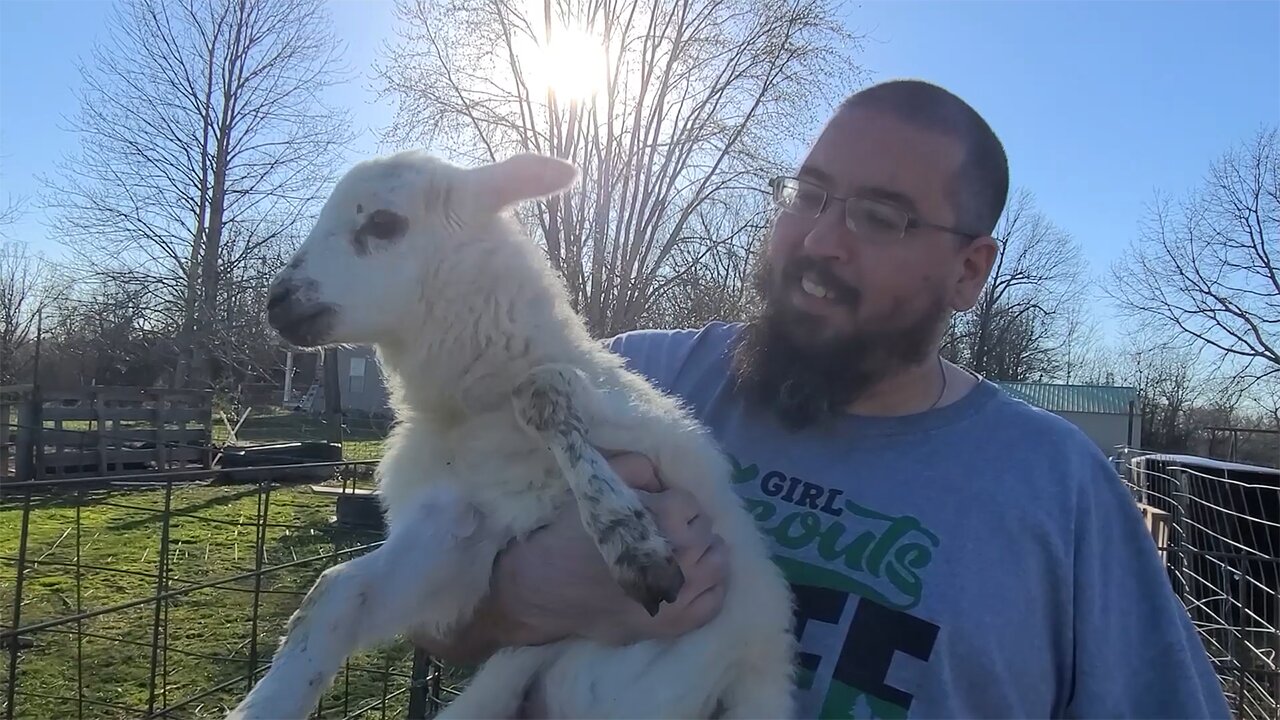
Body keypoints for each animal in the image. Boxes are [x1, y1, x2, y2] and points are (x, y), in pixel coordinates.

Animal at [225, 148, 793, 712]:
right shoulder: (461, 528)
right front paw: (267, 703)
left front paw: (632, 541)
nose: (277, 301)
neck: (472, 414)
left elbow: (544, 391)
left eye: (384, 223)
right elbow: (336, 592)